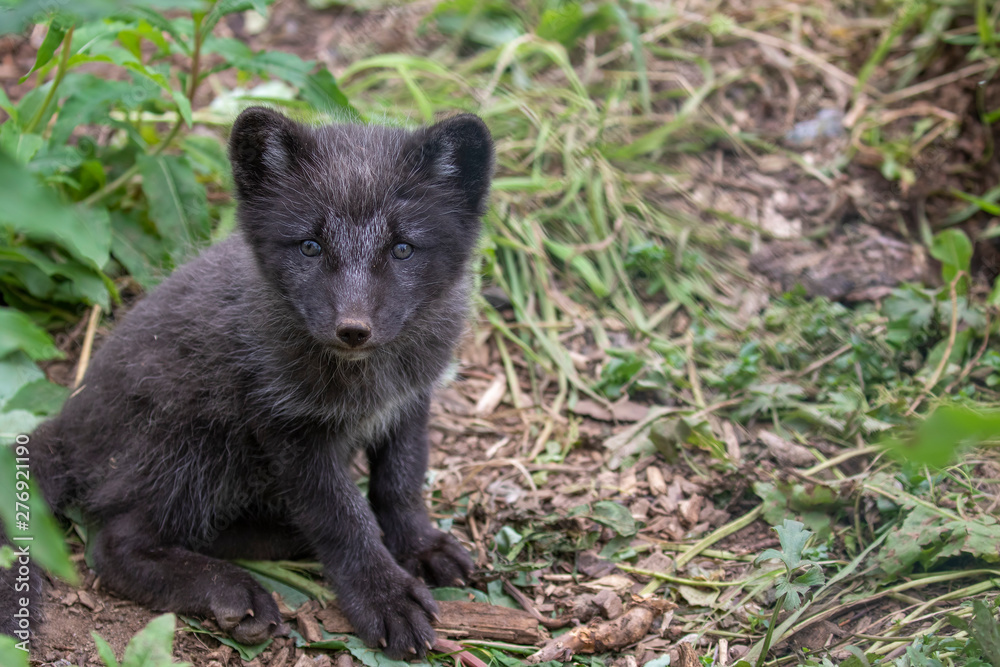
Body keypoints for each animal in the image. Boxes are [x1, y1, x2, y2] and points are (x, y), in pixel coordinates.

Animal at [0, 106, 494, 659]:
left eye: (403, 249)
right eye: (309, 246)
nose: (352, 329)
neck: (367, 378)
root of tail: (69, 419)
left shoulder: (410, 402)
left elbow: (401, 483)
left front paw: (420, 546)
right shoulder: (288, 430)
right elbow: (343, 519)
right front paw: (384, 597)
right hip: (198, 446)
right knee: (113, 544)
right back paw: (234, 590)